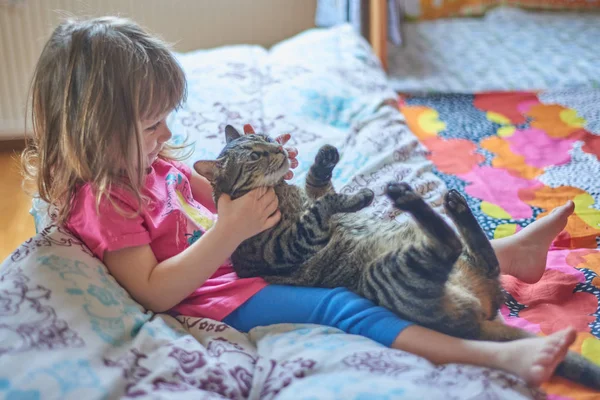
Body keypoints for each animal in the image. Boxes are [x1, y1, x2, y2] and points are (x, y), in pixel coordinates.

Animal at [196, 124, 600, 388]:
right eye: (254, 155)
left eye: (267, 139)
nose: (280, 151)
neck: (280, 193)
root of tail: (480, 317)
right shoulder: (288, 244)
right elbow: (323, 206)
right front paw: (357, 196)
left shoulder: (310, 197)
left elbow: (318, 183)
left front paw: (325, 157)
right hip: (393, 270)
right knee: (450, 246)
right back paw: (409, 198)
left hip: (463, 266)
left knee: (485, 257)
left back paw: (452, 204)